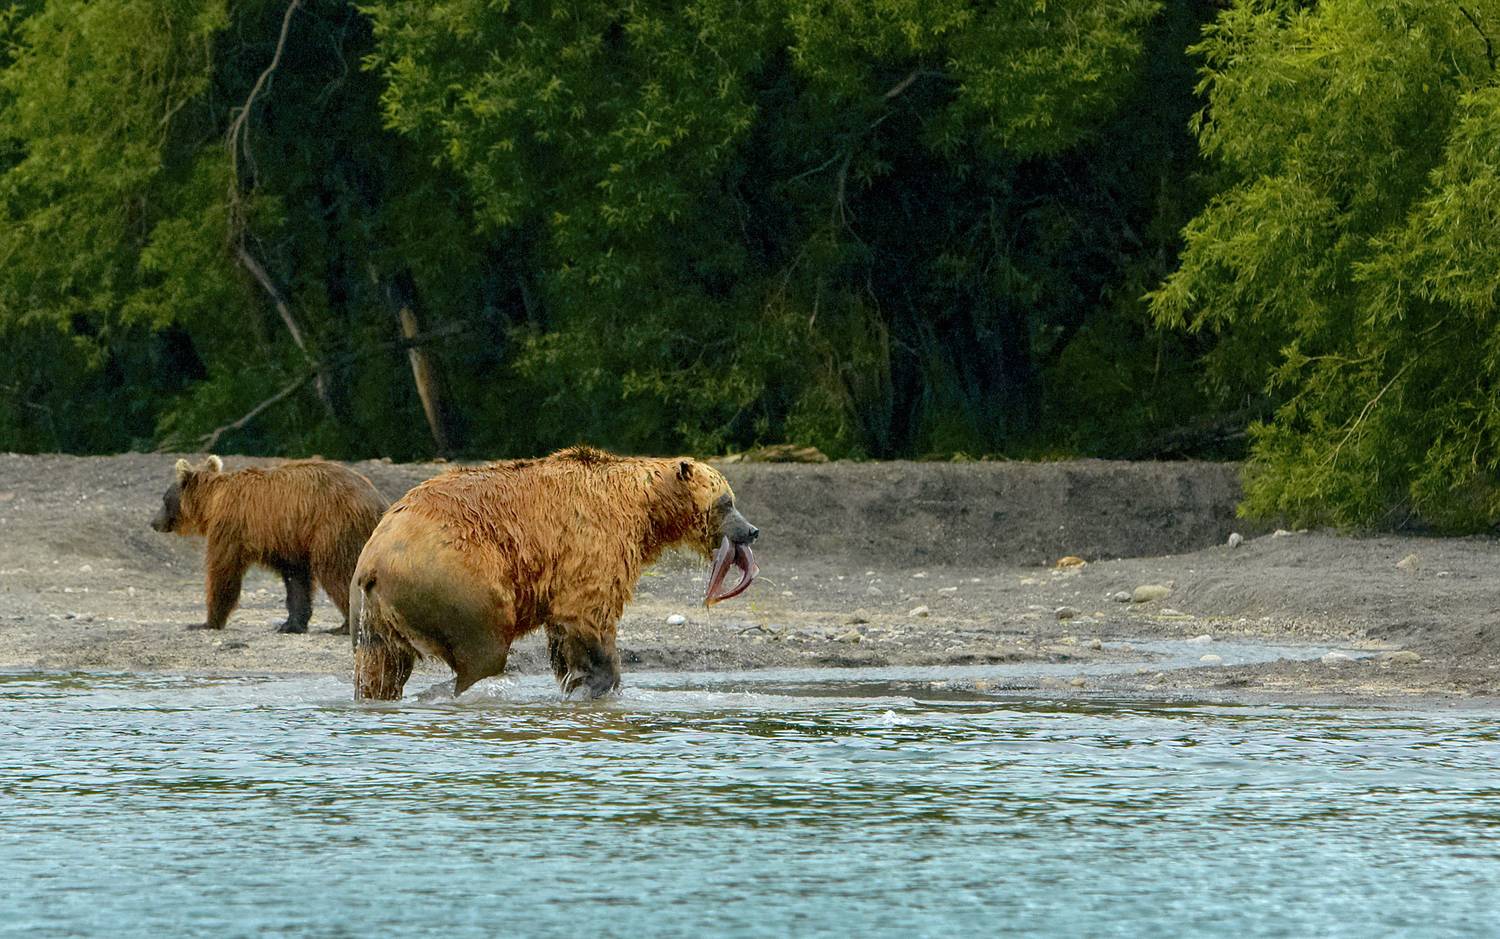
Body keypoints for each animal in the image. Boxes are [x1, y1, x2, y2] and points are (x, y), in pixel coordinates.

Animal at [150, 456, 388, 634]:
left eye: (163, 498)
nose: (153, 522)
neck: (211, 503)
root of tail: (379, 500)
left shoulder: (230, 527)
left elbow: (223, 570)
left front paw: (206, 622)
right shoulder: (288, 538)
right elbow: (296, 579)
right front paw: (291, 624)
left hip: (334, 526)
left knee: (338, 571)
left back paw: (344, 625)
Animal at [349, 446, 760, 700]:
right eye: (727, 502)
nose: (752, 530)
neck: (644, 511)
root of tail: (373, 558)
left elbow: (563, 635)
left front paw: (578, 682)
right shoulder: (593, 543)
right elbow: (589, 615)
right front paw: (599, 682)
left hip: (375, 612)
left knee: (380, 666)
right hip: (458, 583)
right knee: (483, 651)